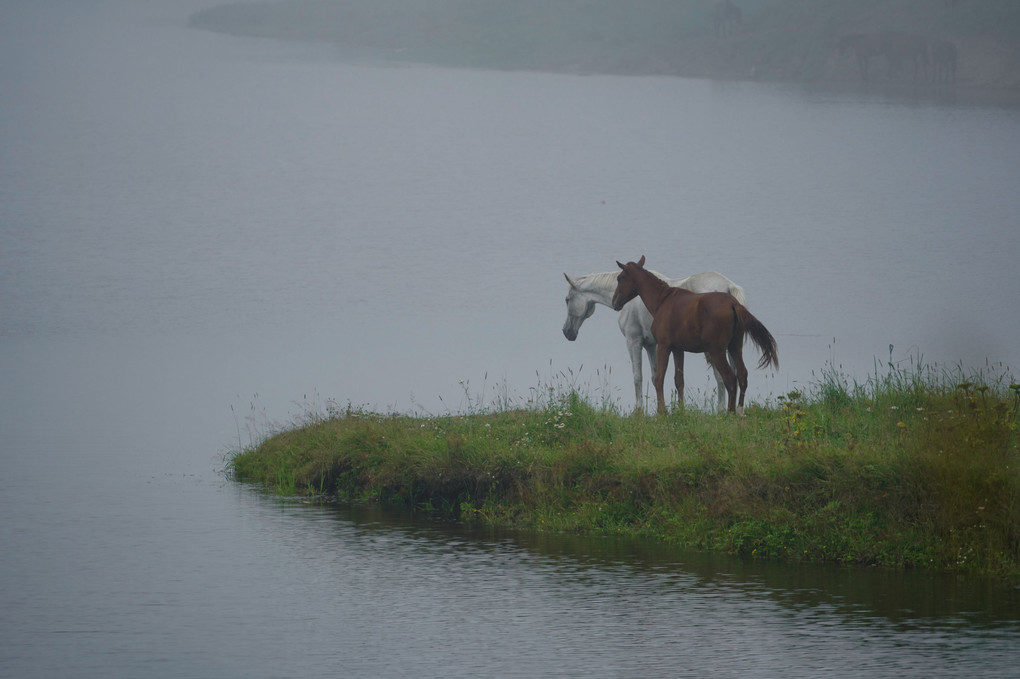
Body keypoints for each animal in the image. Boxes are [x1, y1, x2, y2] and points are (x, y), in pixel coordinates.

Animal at [563, 267, 746, 409]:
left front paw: (639, 411)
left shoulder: (633, 341)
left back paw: (721, 410)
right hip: (731, 348)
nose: (566, 332)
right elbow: (655, 376)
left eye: (567, 299)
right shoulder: (650, 345)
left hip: (714, 350)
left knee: (723, 378)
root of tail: (728, 287)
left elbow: (638, 377)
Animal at [607, 254, 775, 411]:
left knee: (729, 378)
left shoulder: (663, 345)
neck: (662, 301)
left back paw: (730, 412)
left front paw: (662, 411)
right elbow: (678, 380)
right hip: (735, 347)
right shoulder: (678, 349)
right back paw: (739, 411)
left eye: (620, 278)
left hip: (717, 350)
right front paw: (680, 410)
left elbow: (659, 378)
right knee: (742, 375)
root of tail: (733, 304)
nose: (614, 302)